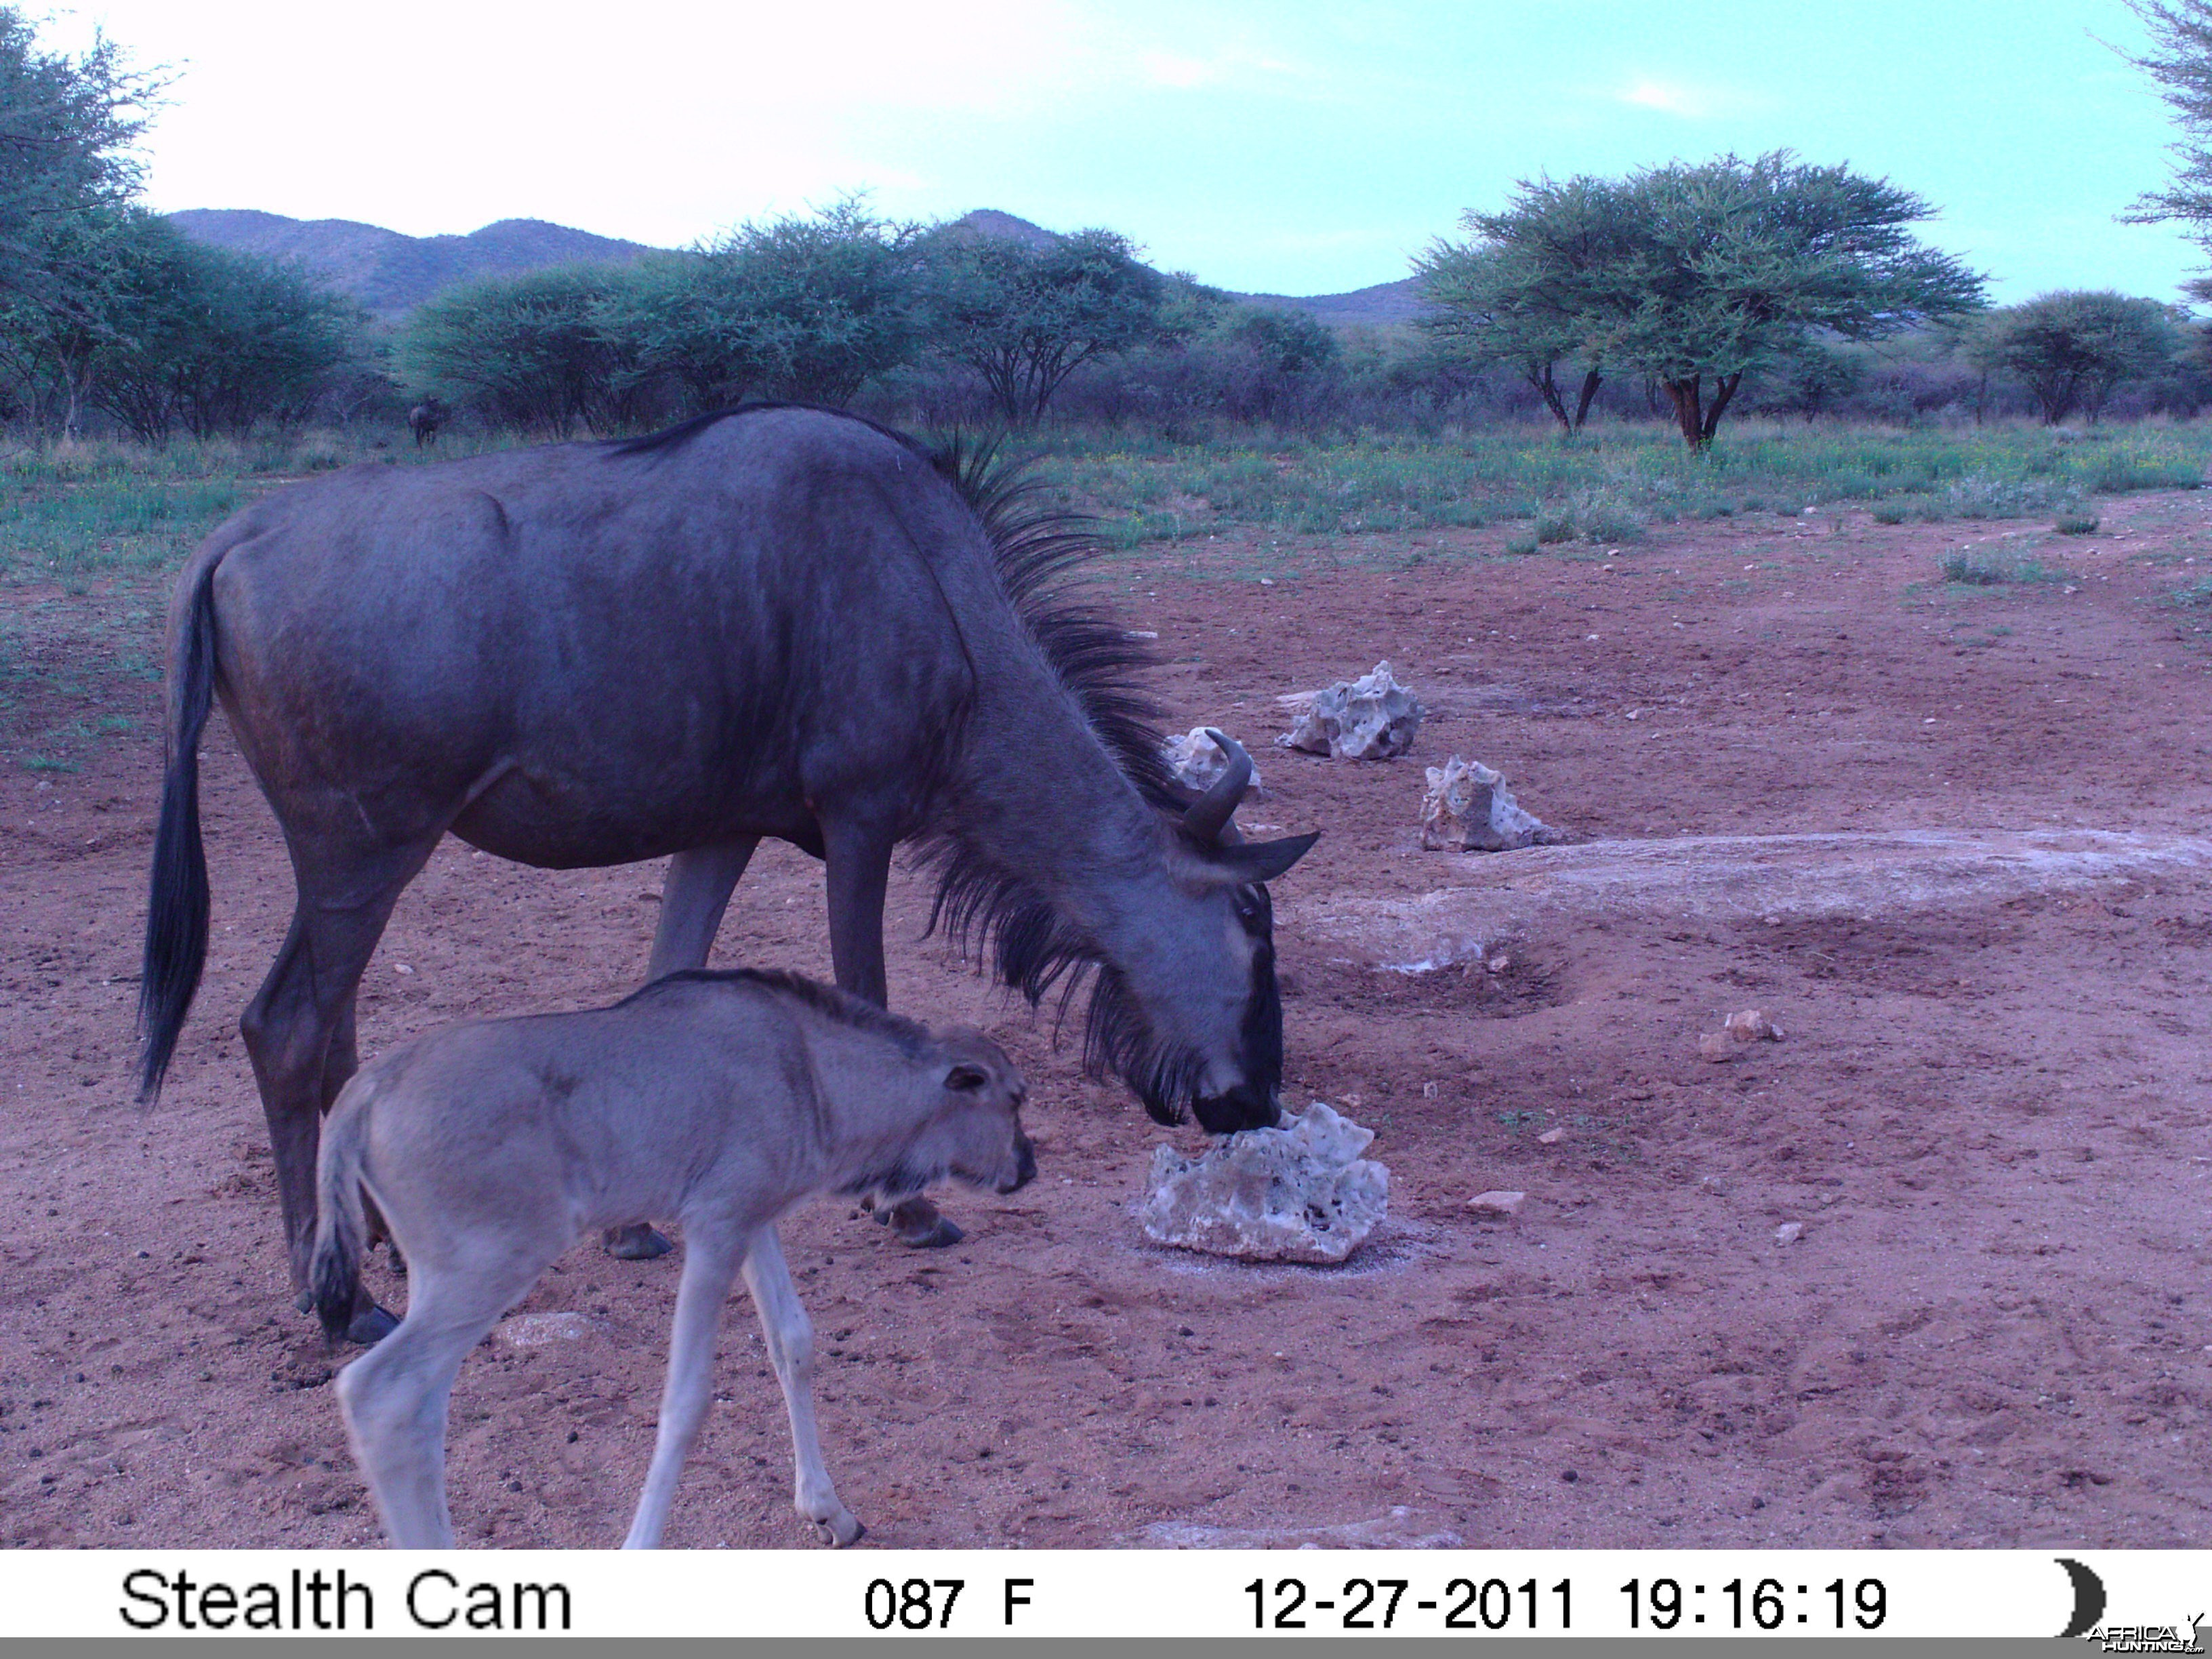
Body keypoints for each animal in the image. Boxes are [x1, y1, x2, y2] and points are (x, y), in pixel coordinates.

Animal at [309, 968, 1035, 1557]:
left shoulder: (753, 1222)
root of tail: (365, 1091)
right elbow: (686, 1402)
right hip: (486, 1272)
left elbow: (793, 1343)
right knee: (382, 1395)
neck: (806, 1065)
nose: (1026, 1169)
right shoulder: (715, 1229)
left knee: (421, 1410)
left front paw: (829, 1511)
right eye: (1012, 1098)